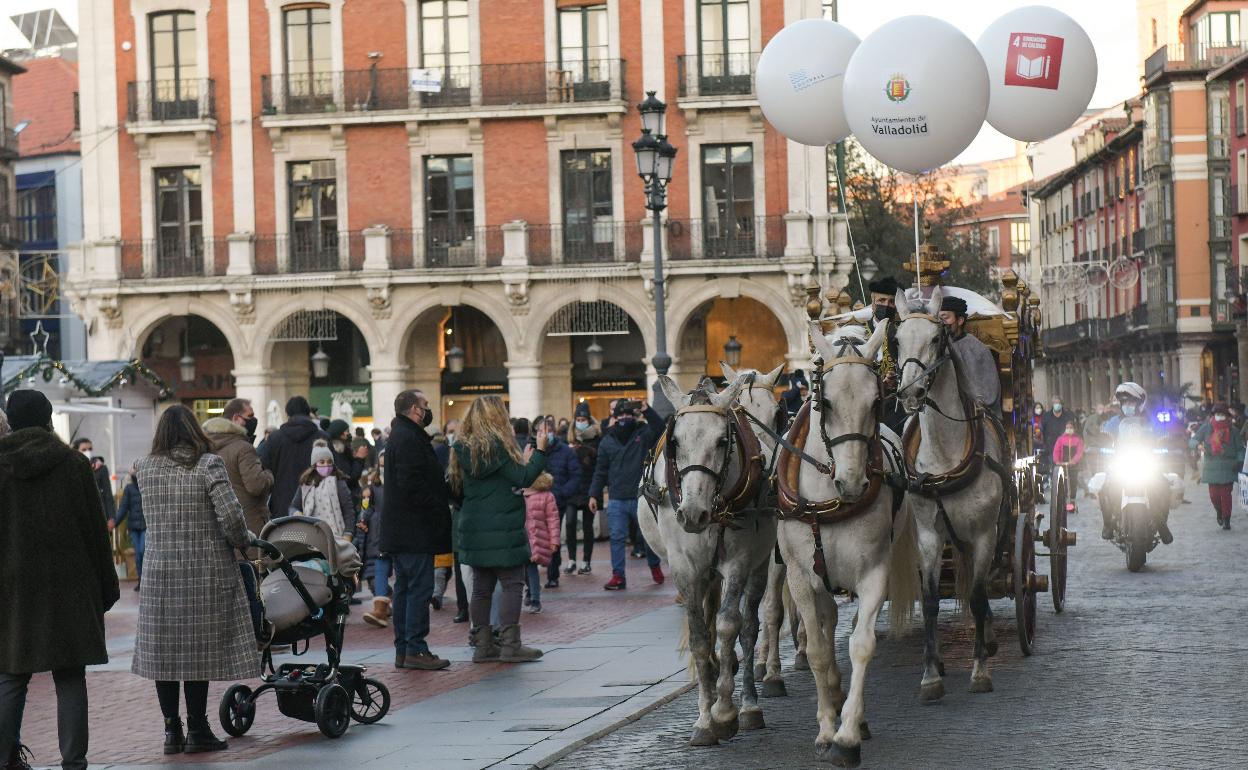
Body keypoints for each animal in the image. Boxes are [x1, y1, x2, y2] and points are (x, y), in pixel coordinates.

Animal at [643, 366, 778, 743]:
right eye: (675, 442)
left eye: (722, 441)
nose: (692, 514)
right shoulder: (685, 569)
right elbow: (701, 637)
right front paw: (704, 721)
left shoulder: (739, 562)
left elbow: (730, 625)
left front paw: (725, 710)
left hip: (760, 565)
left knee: (749, 626)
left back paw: (749, 704)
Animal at [778, 321, 918, 763]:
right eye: (826, 402)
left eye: (877, 402)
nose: (853, 482)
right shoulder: (800, 578)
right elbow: (819, 650)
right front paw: (826, 727)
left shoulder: (874, 571)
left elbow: (861, 644)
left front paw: (848, 733)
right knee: (825, 625)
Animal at [893, 285, 1008, 698]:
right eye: (896, 339)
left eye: (936, 338)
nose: (910, 393)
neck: (944, 456)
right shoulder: (930, 534)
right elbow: (929, 601)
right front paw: (931, 674)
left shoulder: (984, 533)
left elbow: (976, 596)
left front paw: (980, 670)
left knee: (982, 586)